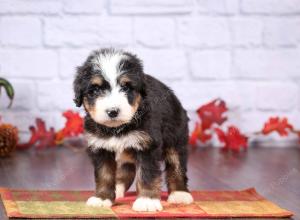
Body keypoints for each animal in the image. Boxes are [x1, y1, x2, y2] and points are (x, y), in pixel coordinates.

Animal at [74, 48, 193, 211]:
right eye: (95, 90)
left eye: (125, 87)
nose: (113, 111)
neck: (116, 129)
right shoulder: (100, 147)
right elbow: (104, 174)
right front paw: (102, 197)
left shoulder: (147, 145)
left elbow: (147, 174)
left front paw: (147, 201)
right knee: (126, 171)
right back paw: (117, 190)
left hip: (176, 138)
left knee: (177, 165)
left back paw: (180, 194)